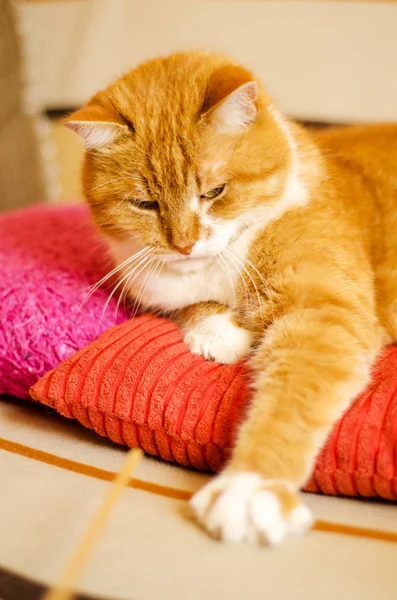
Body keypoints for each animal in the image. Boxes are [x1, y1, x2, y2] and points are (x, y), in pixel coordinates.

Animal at [66, 50, 396, 548]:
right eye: (145, 204)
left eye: (214, 192)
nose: (184, 245)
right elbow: (192, 304)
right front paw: (218, 332)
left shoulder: (323, 313)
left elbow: (291, 399)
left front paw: (250, 487)